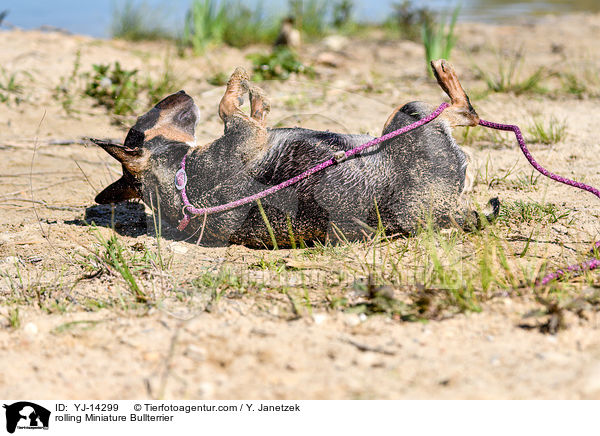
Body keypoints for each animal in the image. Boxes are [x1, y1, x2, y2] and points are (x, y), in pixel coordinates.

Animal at [91, 59, 500, 247]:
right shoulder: (246, 134)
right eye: (142, 126)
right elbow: (227, 106)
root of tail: (446, 208)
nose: (177, 92)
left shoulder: (252, 130)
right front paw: (238, 82)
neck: (179, 179)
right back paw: (445, 74)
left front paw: (256, 98)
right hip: (408, 115)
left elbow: (245, 110)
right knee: (461, 110)